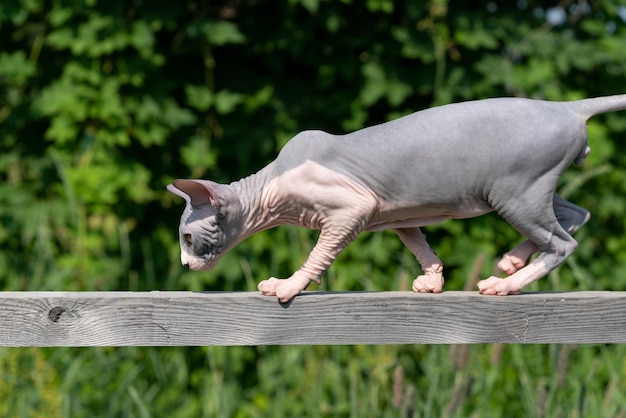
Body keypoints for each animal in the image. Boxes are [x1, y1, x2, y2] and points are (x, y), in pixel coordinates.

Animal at [166, 96, 624, 302]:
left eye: (187, 239)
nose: (185, 266)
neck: (269, 189)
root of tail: (567, 107)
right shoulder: (394, 214)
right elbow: (420, 245)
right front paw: (433, 280)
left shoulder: (353, 208)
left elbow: (317, 256)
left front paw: (288, 285)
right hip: (527, 190)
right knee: (577, 214)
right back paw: (512, 261)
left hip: (515, 192)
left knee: (564, 243)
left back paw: (504, 284)